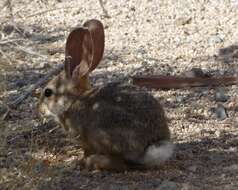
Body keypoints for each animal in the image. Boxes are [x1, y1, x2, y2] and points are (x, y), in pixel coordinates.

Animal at [38, 19, 174, 172]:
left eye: (48, 92)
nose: (39, 110)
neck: (73, 101)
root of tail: (152, 145)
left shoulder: (84, 140)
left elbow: (86, 151)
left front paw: (79, 162)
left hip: (103, 134)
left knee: (121, 163)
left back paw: (93, 162)